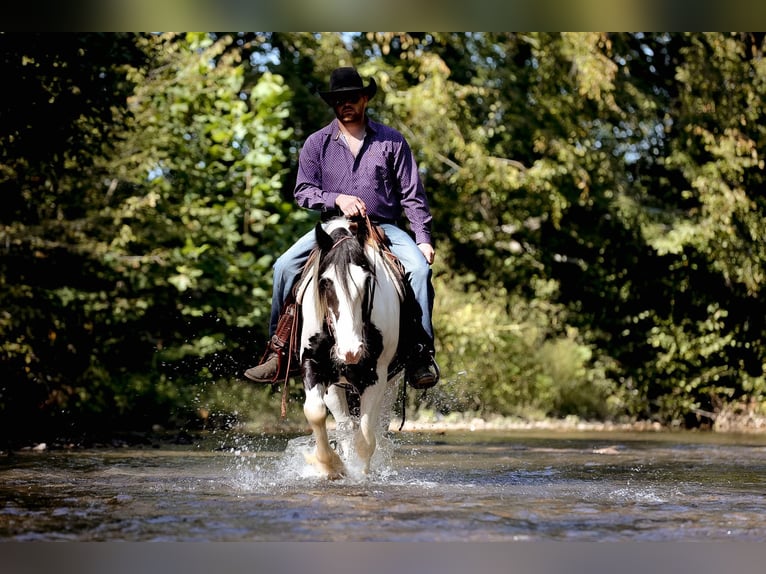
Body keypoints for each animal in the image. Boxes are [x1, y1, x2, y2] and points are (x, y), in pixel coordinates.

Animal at [296, 218, 408, 480]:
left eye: (367, 281)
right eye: (325, 282)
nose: (351, 351)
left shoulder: (375, 376)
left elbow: (366, 437)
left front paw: (361, 473)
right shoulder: (313, 364)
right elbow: (315, 412)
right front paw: (330, 465)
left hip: (392, 382)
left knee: (378, 426)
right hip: (336, 387)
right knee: (345, 424)